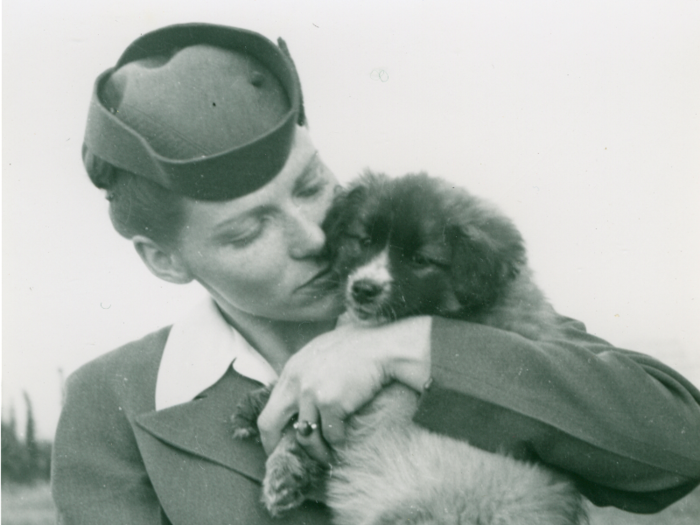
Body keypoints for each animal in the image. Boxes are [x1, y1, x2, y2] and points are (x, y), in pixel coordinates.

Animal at [232, 172, 588, 524]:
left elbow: (303, 421)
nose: (363, 289)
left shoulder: (375, 401)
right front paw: (260, 407)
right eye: (365, 241)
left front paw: (282, 467)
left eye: (420, 260)